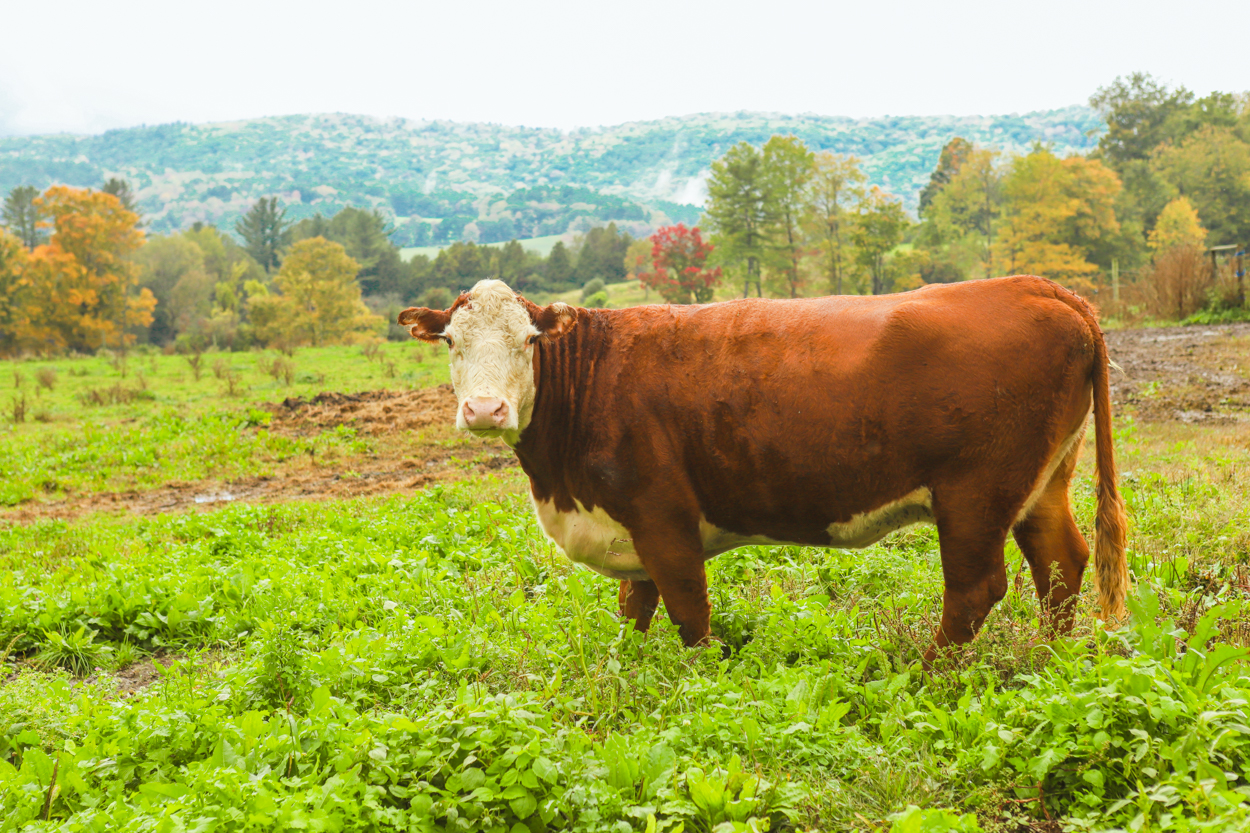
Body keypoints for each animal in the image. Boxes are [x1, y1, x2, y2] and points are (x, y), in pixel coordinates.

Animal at [400, 275, 1135, 665]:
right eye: (451, 341)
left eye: (528, 339)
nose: (485, 408)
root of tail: (1034, 285)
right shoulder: (629, 526)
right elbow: (634, 608)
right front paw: (627, 671)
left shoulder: (662, 514)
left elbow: (688, 608)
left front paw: (701, 682)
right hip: (1041, 483)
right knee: (1061, 562)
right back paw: (1046, 657)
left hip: (974, 495)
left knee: (977, 588)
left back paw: (930, 674)